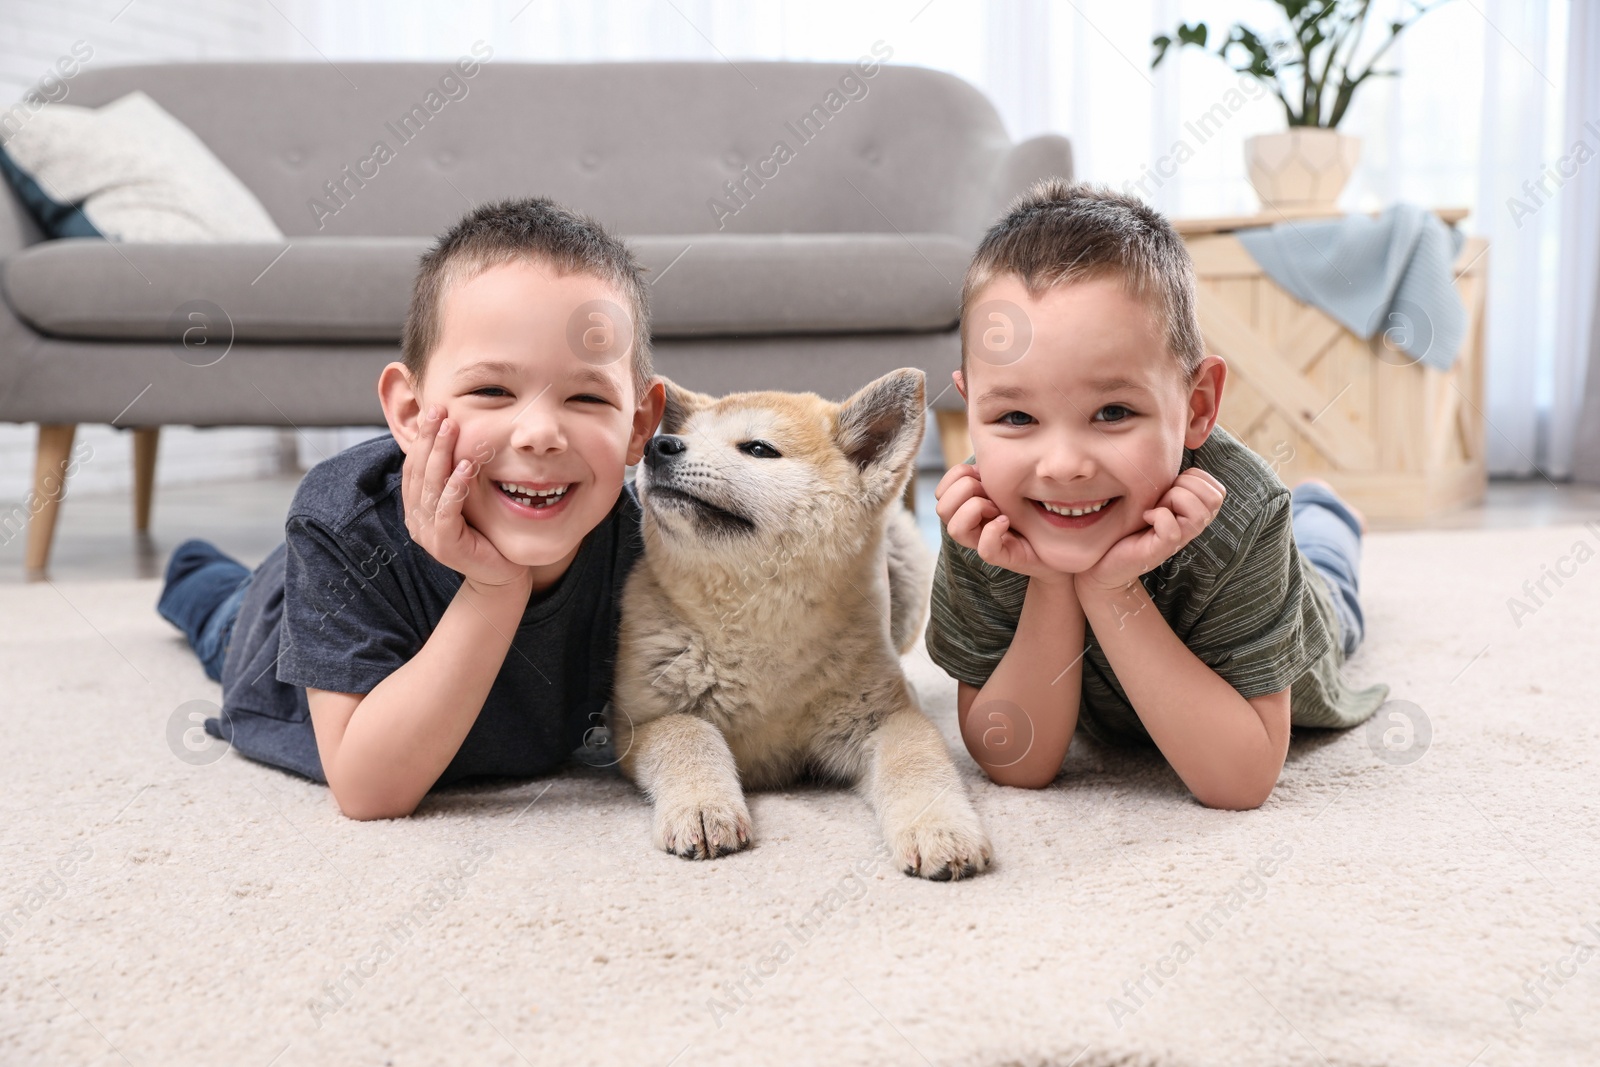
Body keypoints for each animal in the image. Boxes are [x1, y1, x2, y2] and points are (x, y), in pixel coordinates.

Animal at [608, 371, 992, 883]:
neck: (757, 626)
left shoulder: (885, 719)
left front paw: (940, 828)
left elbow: (915, 762)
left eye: (758, 448)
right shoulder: (641, 720)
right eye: (684, 435)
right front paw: (704, 807)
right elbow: (691, 737)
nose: (658, 445)